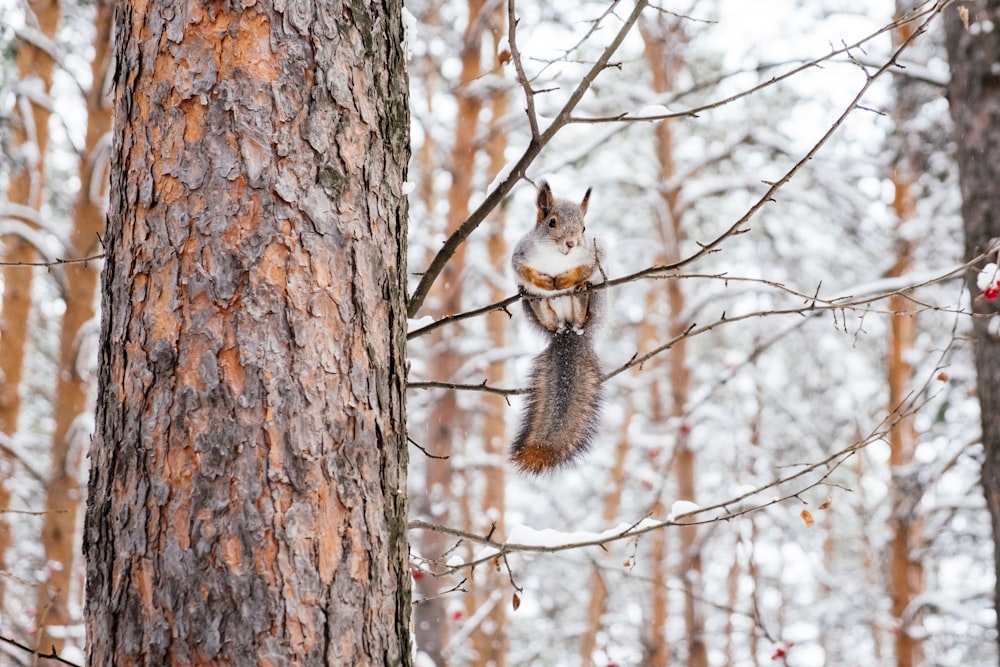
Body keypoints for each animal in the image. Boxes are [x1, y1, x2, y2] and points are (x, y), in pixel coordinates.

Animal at [512, 180, 604, 474]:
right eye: (552, 222)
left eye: (584, 228)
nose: (571, 244)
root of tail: (568, 331)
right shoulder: (520, 254)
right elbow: (522, 270)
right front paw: (541, 282)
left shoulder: (593, 255)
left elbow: (586, 268)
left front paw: (566, 280)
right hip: (539, 313)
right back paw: (535, 296)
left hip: (590, 308)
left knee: (583, 309)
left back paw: (582, 293)